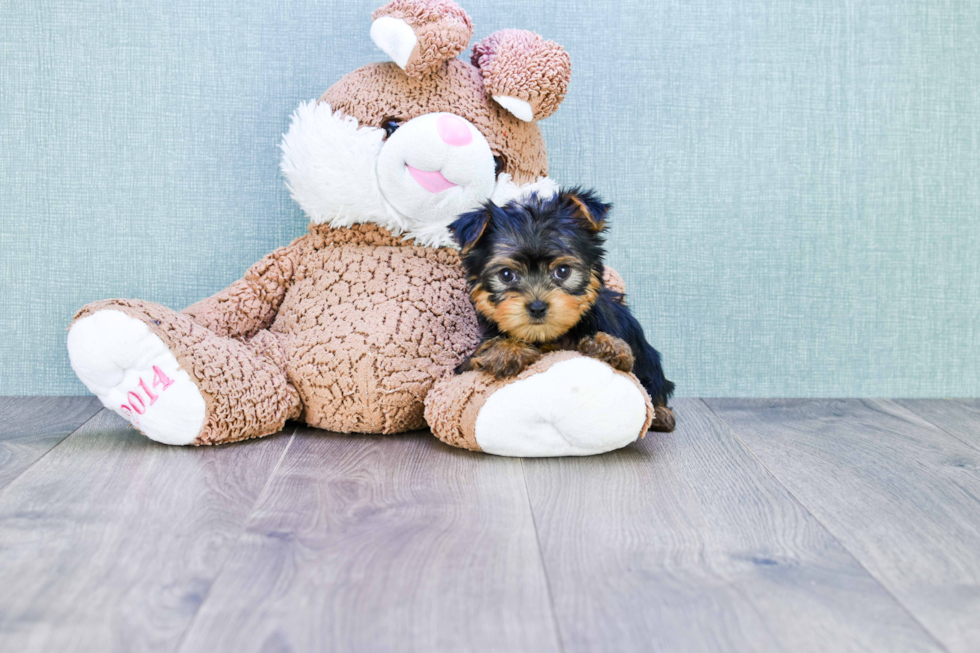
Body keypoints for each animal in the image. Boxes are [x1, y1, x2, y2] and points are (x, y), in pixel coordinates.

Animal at [450, 188, 672, 412]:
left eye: (563, 271)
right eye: (506, 275)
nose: (537, 307)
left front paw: (608, 344)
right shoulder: (466, 366)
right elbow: (480, 354)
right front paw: (506, 350)